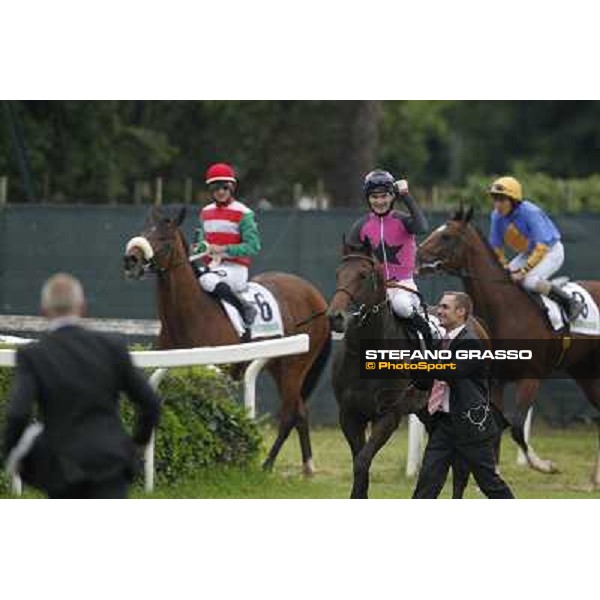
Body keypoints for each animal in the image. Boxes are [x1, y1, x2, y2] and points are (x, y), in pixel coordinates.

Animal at [120, 204, 330, 476]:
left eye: (163, 238)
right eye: (145, 231)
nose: (131, 259)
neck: (191, 314)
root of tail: (315, 295)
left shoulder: (215, 373)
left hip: (295, 364)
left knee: (290, 413)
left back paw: (267, 464)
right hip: (277, 366)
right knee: (300, 411)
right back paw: (306, 466)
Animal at [326, 238, 428, 496]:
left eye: (363, 275)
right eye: (338, 273)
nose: (335, 317)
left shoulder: (388, 416)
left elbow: (362, 461)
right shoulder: (349, 415)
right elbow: (358, 461)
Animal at [418, 206, 600, 488]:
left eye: (446, 236)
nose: (417, 254)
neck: (505, 311)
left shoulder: (530, 378)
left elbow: (515, 426)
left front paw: (544, 465)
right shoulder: (496, 380)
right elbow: (495, 424)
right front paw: (493, 470)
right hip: (586, 373)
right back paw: (594, 479)